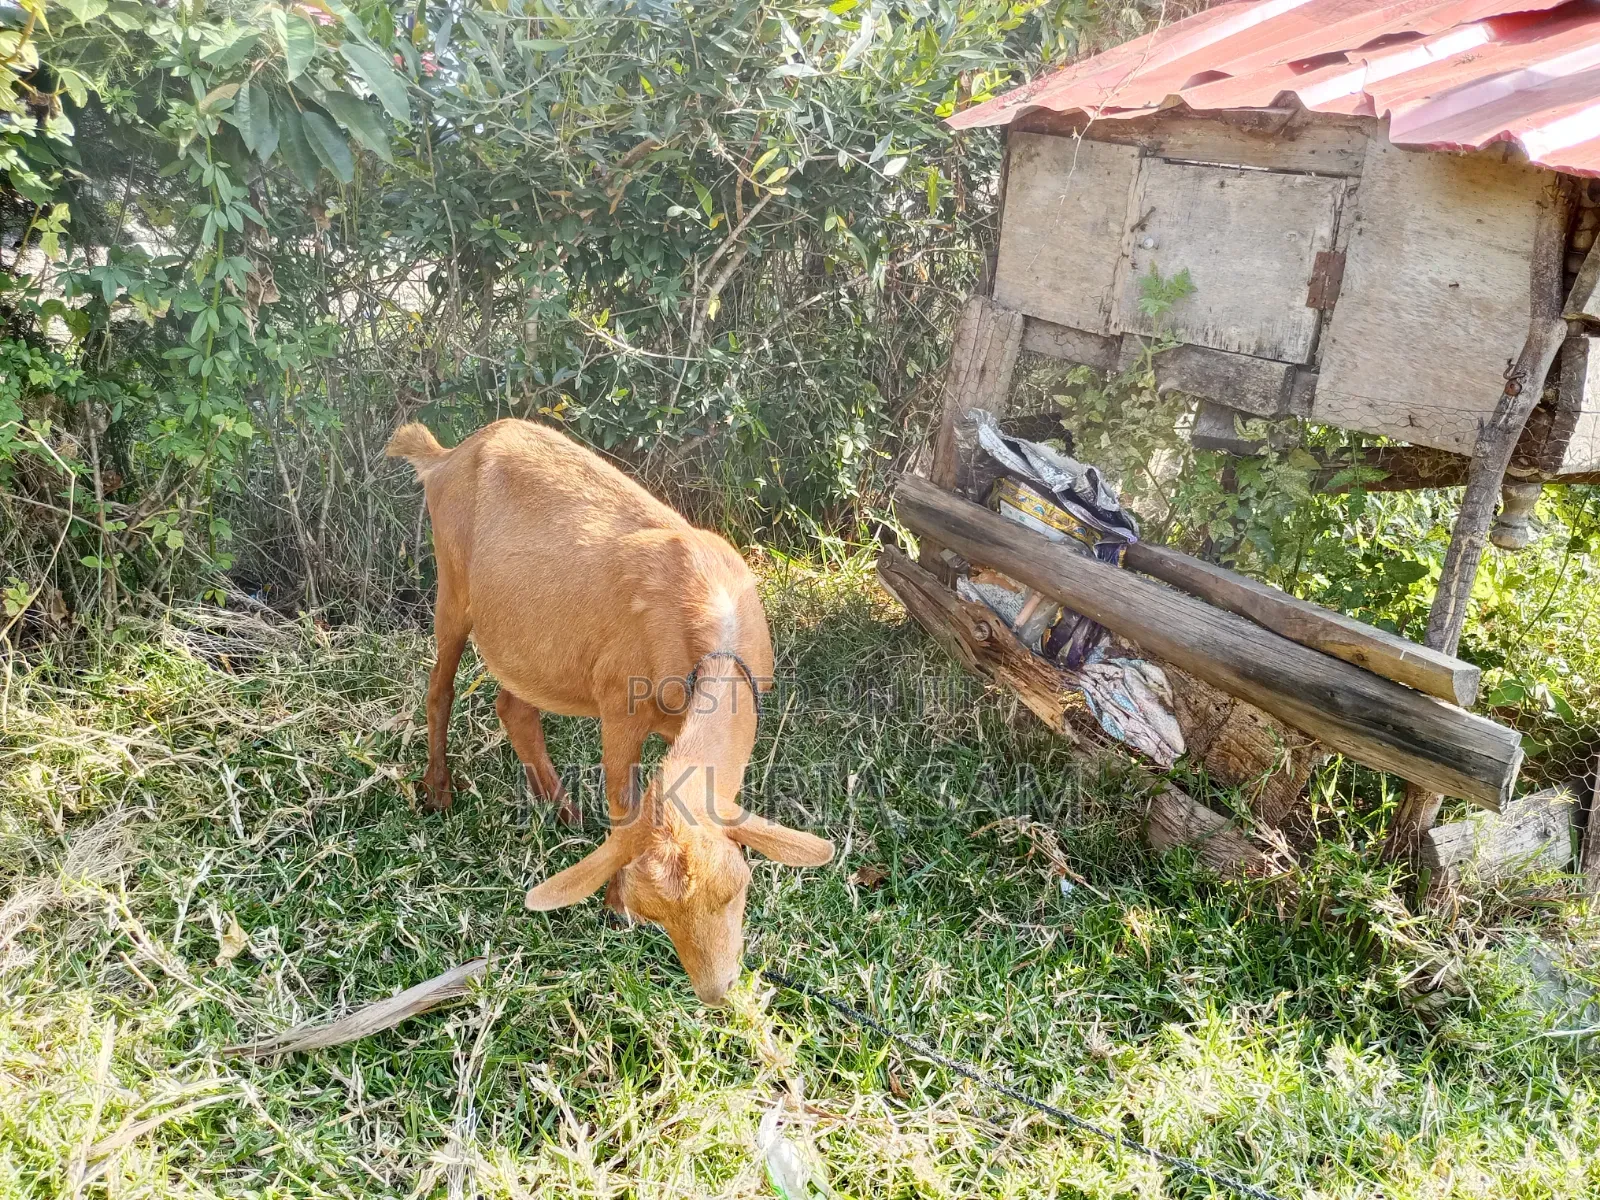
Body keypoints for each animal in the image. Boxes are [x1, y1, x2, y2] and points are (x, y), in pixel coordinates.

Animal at [385, 418, 833, 1004]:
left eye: (738, 889)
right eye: (654, 913)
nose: (717, 992)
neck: (710, 621)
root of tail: (448, 455)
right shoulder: (621, 703)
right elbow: (624, 801)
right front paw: (613, 903)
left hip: (531, 639)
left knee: (514, 706)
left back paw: (564, 811)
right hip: (452, 584)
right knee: (440, 689)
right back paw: (438, 790)